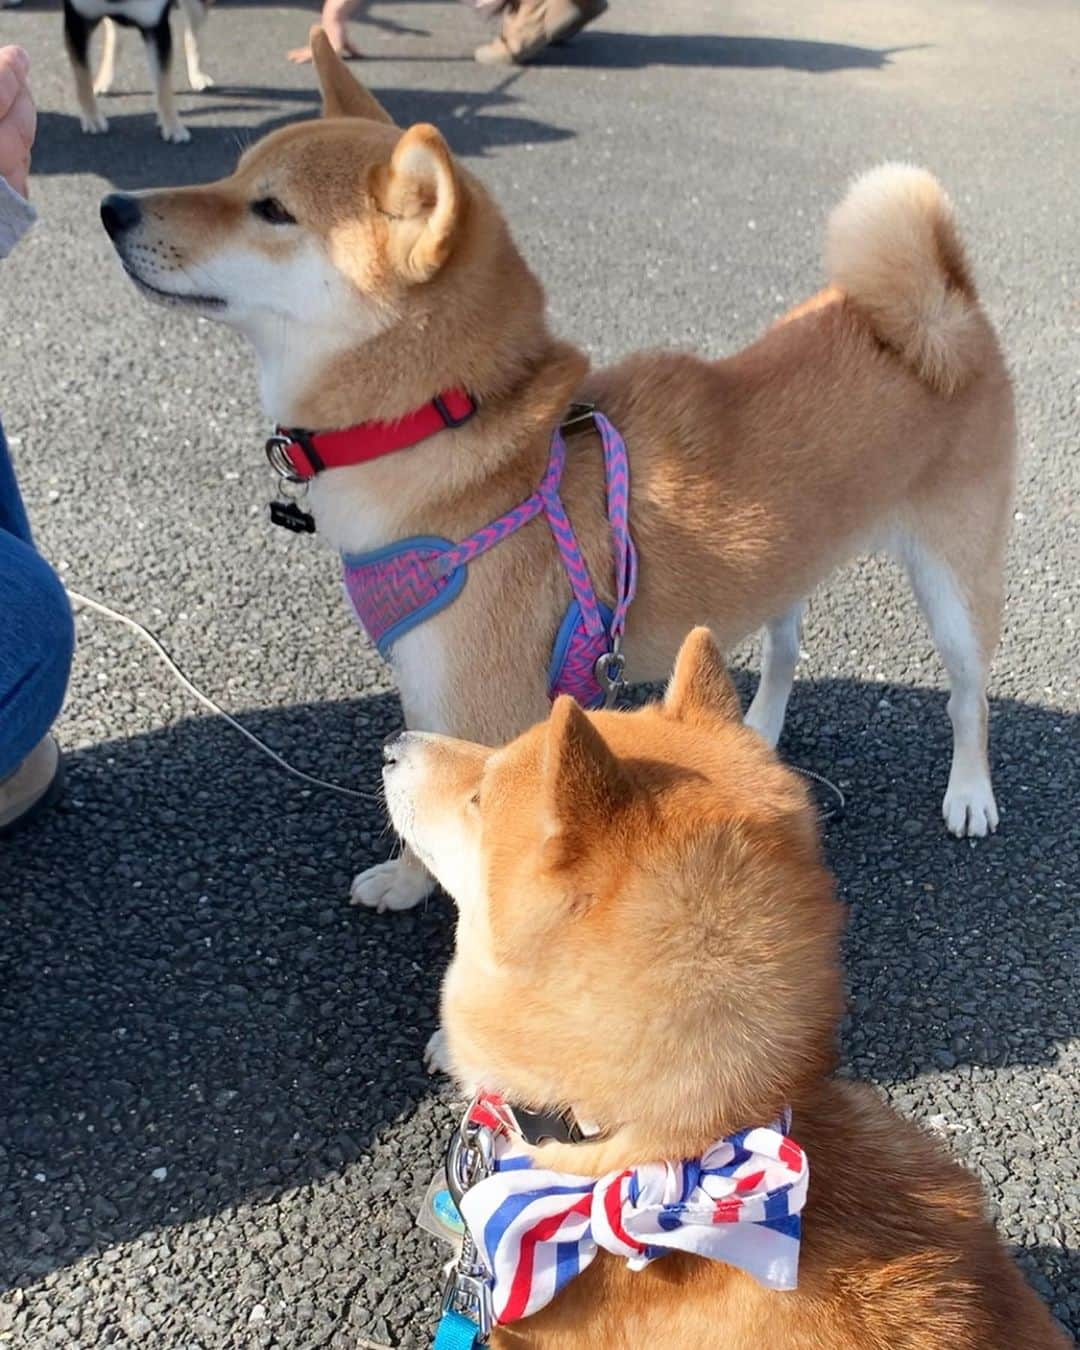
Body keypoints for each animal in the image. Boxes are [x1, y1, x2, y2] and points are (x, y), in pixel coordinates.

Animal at [62, 0, 213, 143]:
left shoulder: (155, 26)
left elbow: (163, 85)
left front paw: (172, 126)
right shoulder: (78, 20)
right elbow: (83, 78)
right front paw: (92, 117)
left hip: (196, 8)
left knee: (191, 35)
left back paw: (197, 76)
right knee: (115, 36)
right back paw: (102, 81)